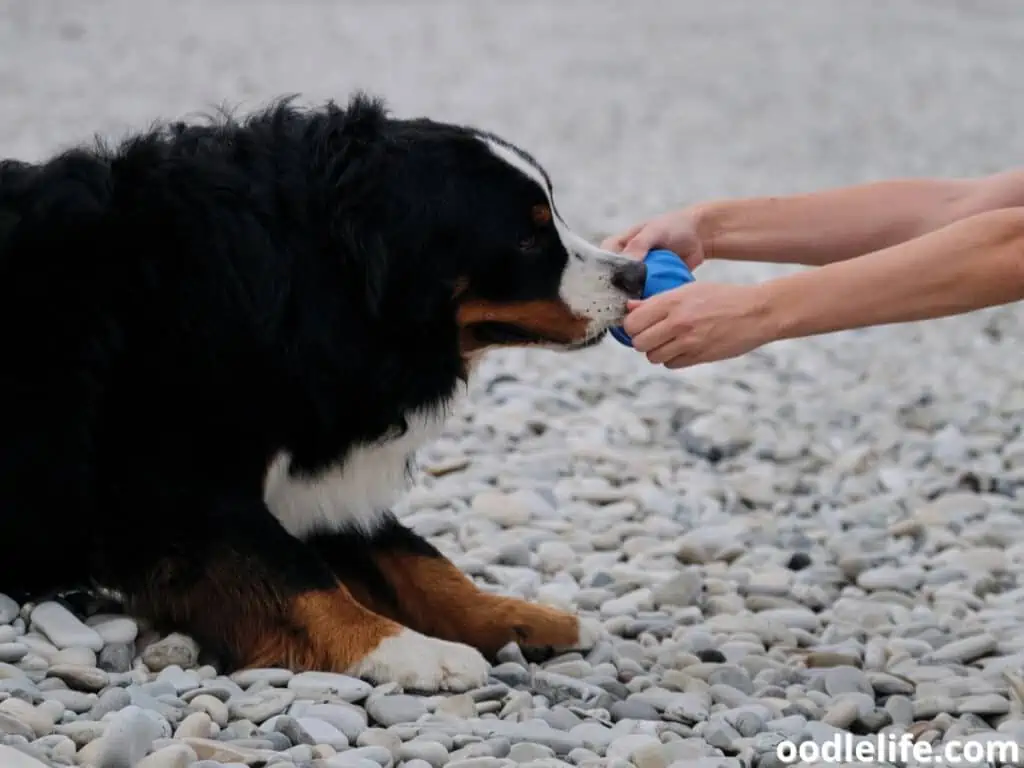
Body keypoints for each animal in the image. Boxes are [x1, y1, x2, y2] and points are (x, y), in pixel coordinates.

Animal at [0, 93, 643, 696]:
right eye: (526, 238)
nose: (634, 273)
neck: (303, 278)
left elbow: (418, 559)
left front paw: (525, 619)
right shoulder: (170, 487)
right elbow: (297, 577)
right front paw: (409, 651)